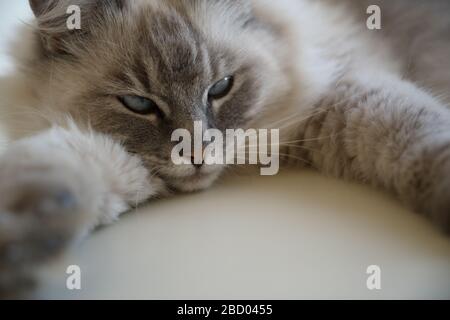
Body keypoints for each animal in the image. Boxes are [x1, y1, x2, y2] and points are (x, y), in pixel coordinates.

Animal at [0, 0, 450, 296]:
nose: (197, 153)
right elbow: (66, 169)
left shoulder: (343, 97)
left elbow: (422, 134)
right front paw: (26, 240)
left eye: (220, 88)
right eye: (139, 104)